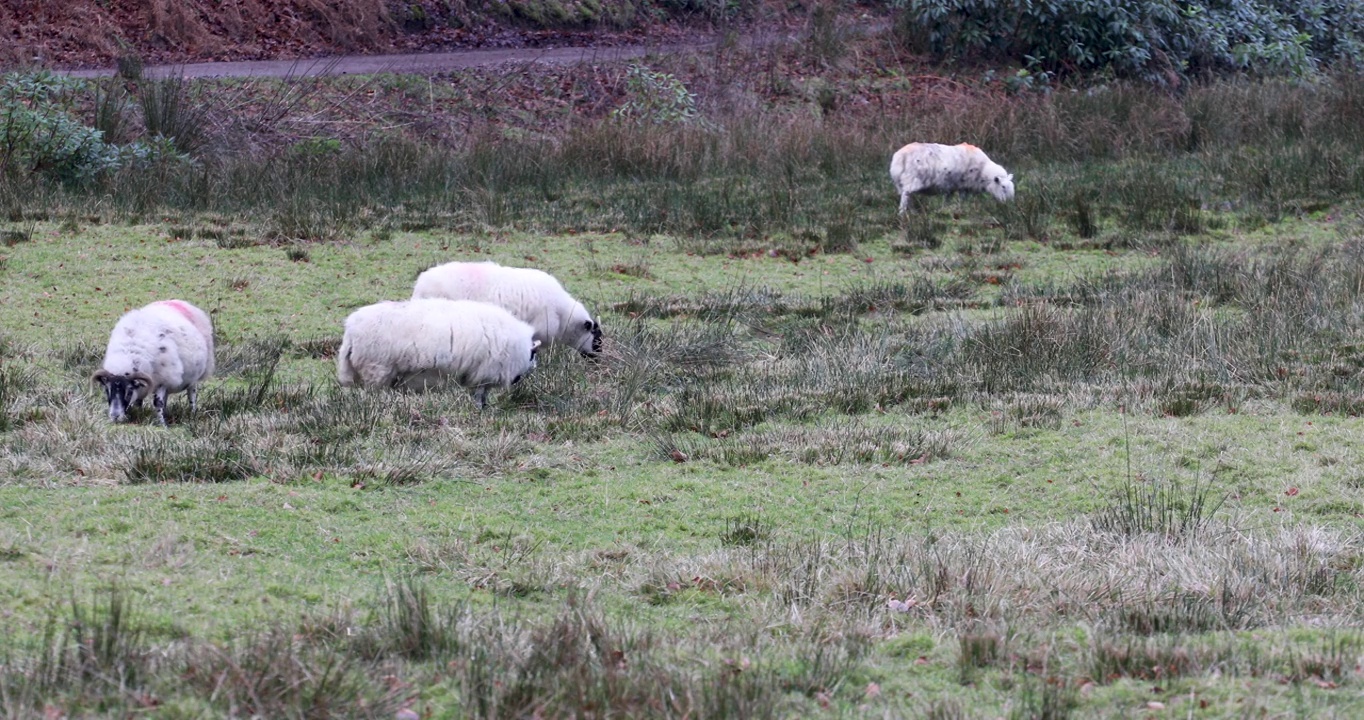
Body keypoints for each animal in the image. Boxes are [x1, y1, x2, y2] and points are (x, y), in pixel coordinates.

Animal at [92, 297, 215, 425]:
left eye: (129, 391)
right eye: (107, 390)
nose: (115, 416)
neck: (128, 355)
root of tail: (178, 301)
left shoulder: (163, 379)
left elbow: (157, 403)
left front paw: (162, 424)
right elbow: (139, 402)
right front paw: (140, 415)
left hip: (194, 377)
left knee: (192, 395)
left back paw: (192, 413)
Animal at [335, 298, 537, 409]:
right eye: (533, 357)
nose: (518, 379)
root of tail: (350, 330)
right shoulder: (484, 372)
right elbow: (479, 396)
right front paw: (480, 410)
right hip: (377, 369)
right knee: (374, 396)